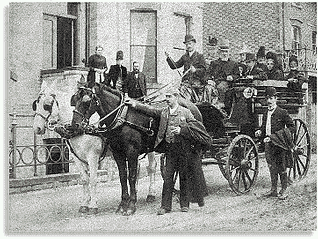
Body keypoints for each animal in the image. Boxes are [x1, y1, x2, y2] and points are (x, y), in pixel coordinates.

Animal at [32, 82, 157, 215]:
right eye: (36, 103)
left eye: (47, 105)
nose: (37, 128)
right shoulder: (77, 157)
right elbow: (84, 180)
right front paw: (84, 204)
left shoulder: (93, 156)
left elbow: (93, 179)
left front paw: (93, 205)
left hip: (149, 148)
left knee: (151, 167)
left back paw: (151, 194)